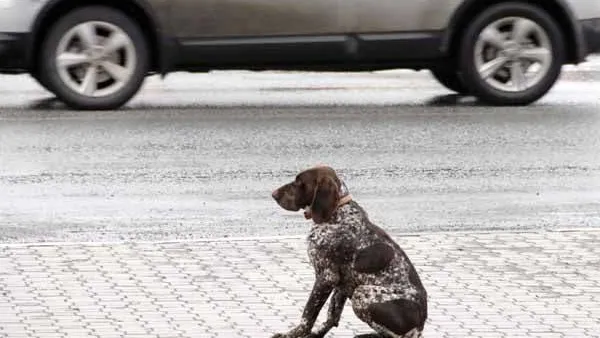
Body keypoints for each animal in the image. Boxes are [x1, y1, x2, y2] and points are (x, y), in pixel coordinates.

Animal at [270, 166, 428, 338]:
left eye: (299, 182)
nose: (273, 194)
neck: (338, 210)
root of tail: (420, 325)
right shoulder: (342, 284)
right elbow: (332, 316)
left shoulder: (326, 276)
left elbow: (308, 314)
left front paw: (294, 333)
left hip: (362, 294)